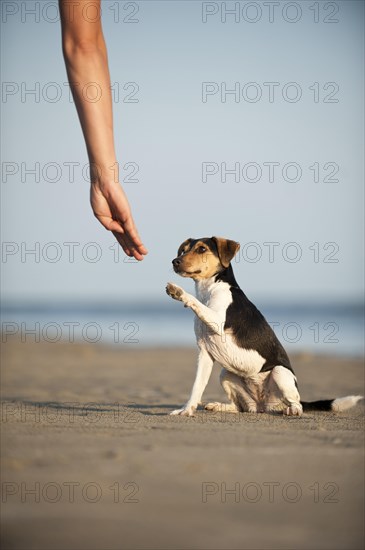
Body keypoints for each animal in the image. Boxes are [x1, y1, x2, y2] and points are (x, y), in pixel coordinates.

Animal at [165, 237, 362, 418]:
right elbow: (197, 387)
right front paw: (186, 410)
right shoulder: (205, 353)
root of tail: (262, 405)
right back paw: (218, 406)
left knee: (296, 402)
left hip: (280, 372)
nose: (175, 261)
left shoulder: (217, 321)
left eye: (202, 249)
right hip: (225, 373)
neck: (209, 290)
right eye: (183, 250)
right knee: (239, 407)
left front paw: (179, 292)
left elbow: (195, 302)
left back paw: (293, 410)